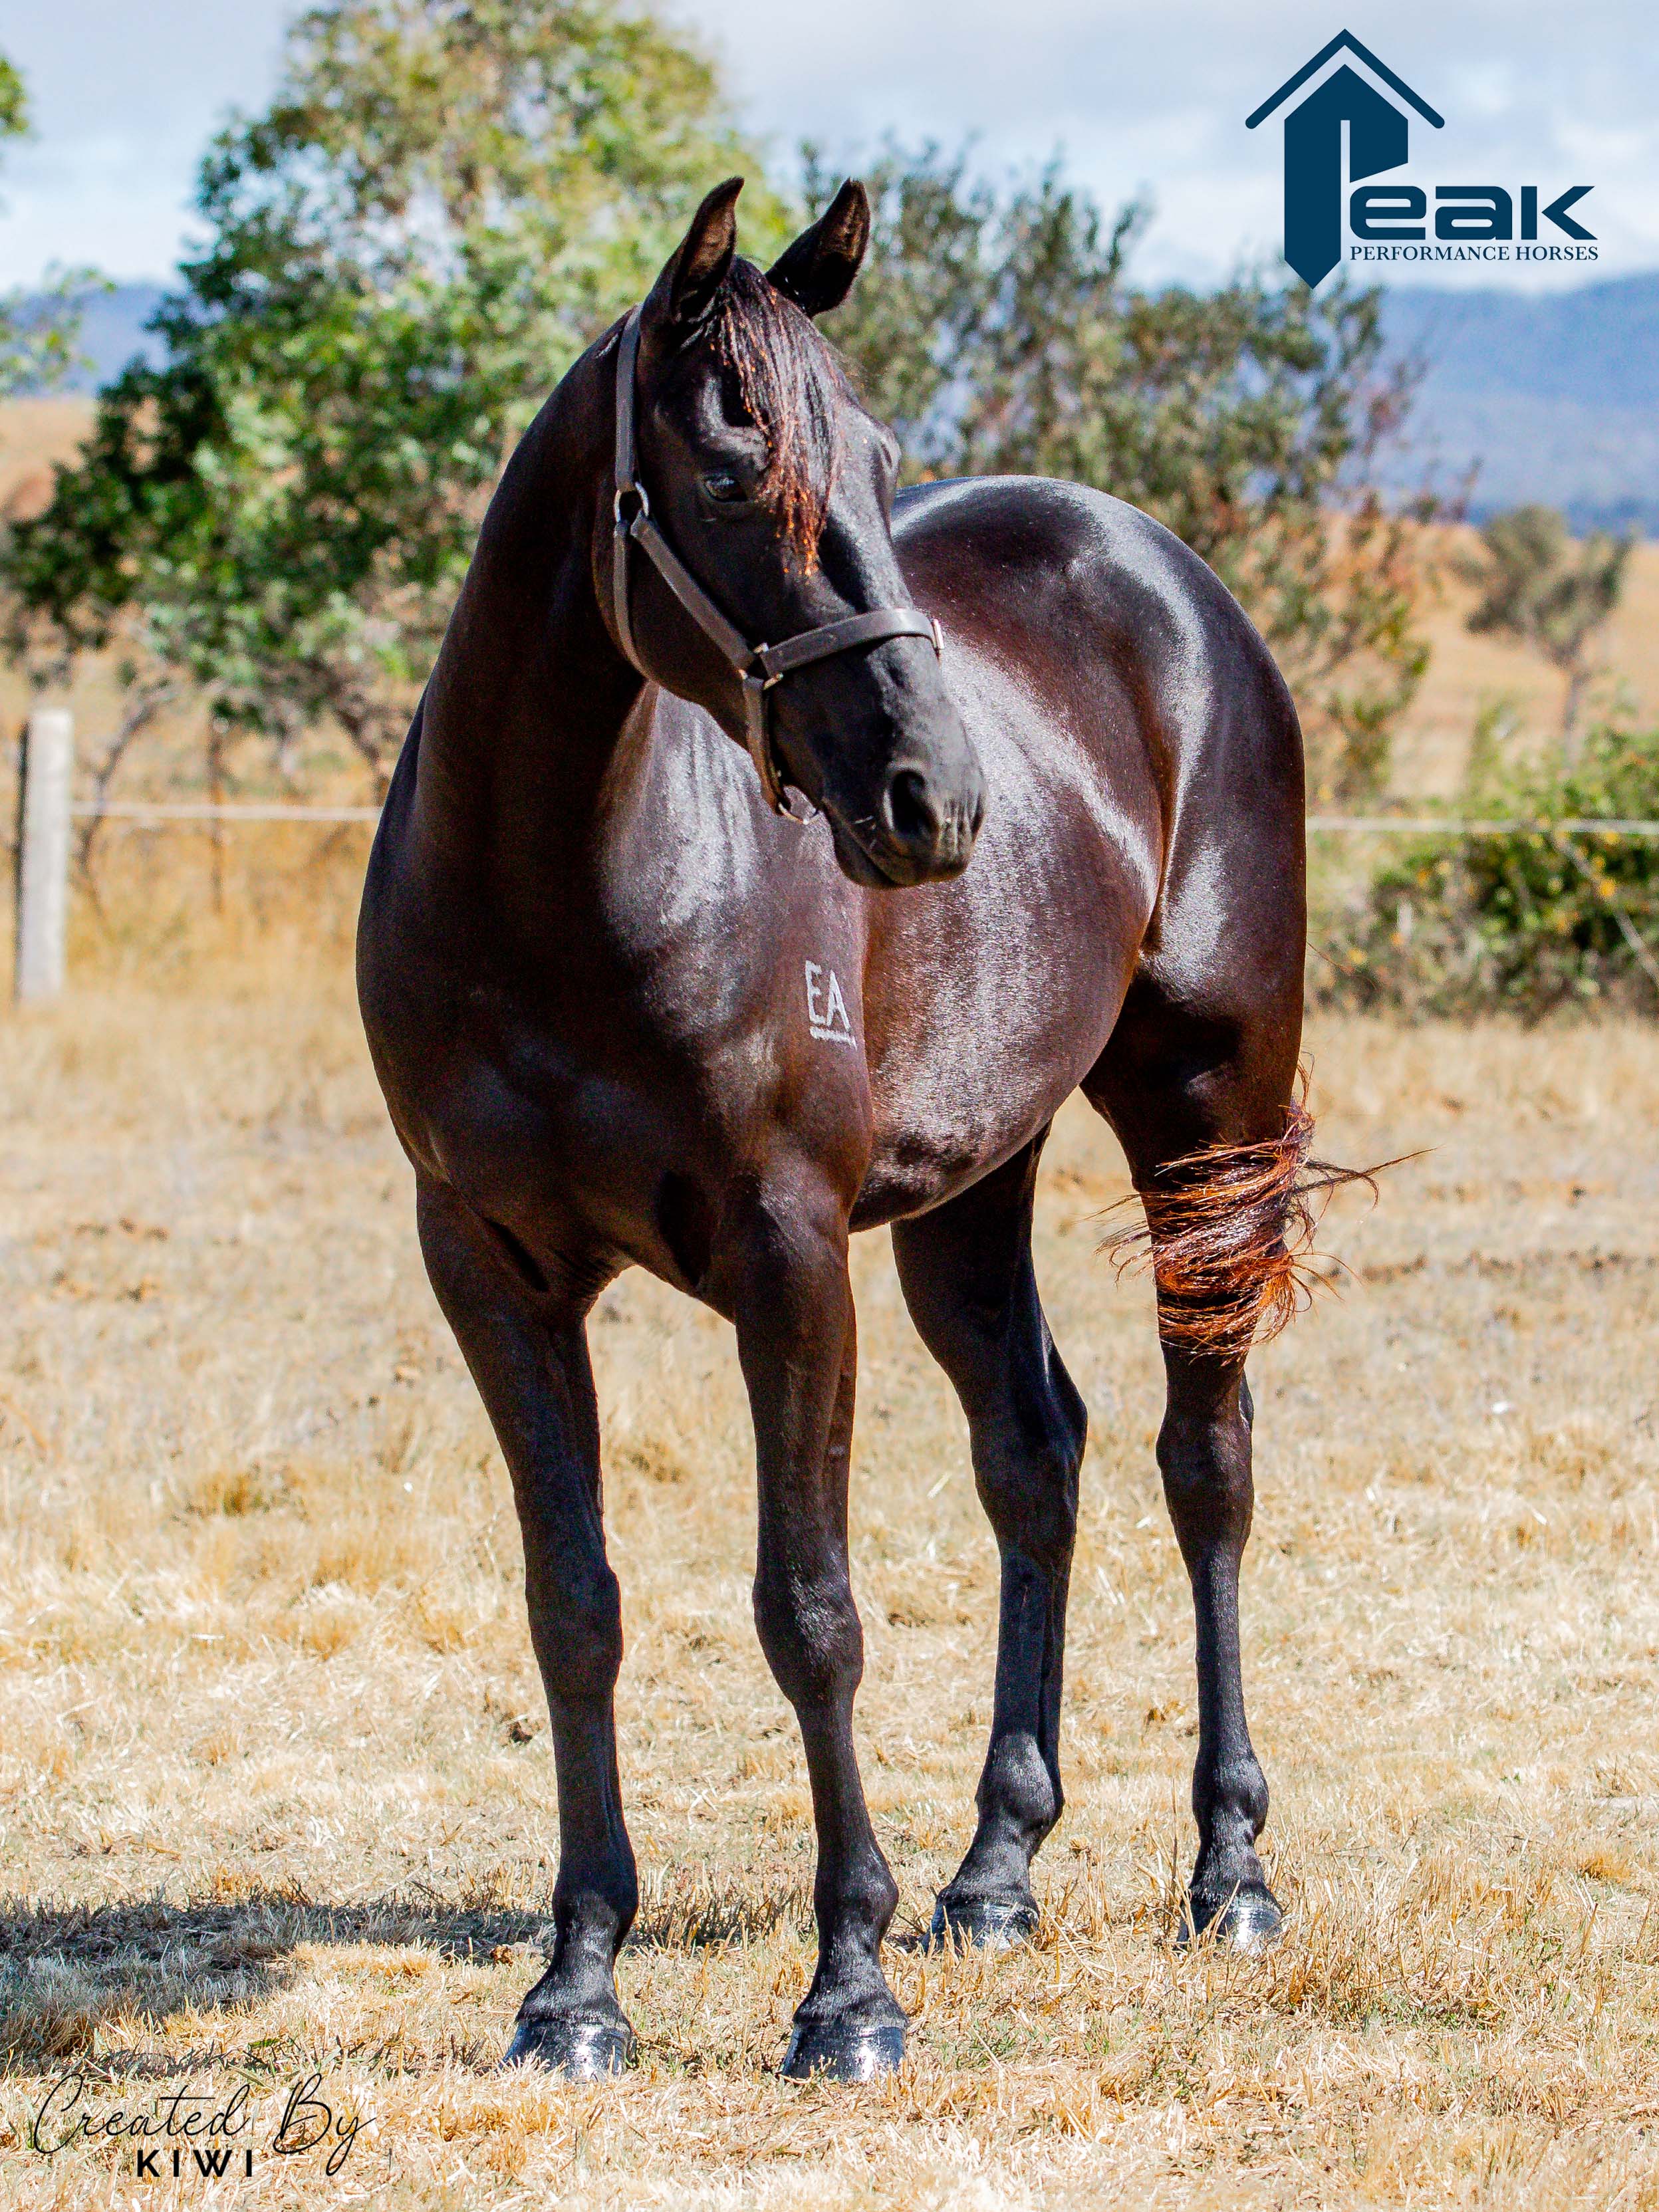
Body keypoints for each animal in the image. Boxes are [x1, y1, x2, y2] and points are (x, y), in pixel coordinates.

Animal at [357, 175, 1315, 2082]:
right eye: (733, 475)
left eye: (876, 465)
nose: (933, 801)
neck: (554, 890)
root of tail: (1168, 580)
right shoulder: (487, 1267)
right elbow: (572, 1608)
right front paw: (575, 1985)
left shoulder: (788, 1255)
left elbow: (807, 1608)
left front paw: (845, 1989)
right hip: (971, 1183)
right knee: (1035, 1449)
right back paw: (993, 1870)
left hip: (1205, 1120)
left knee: (1205, 1459)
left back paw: (1226, 1868)